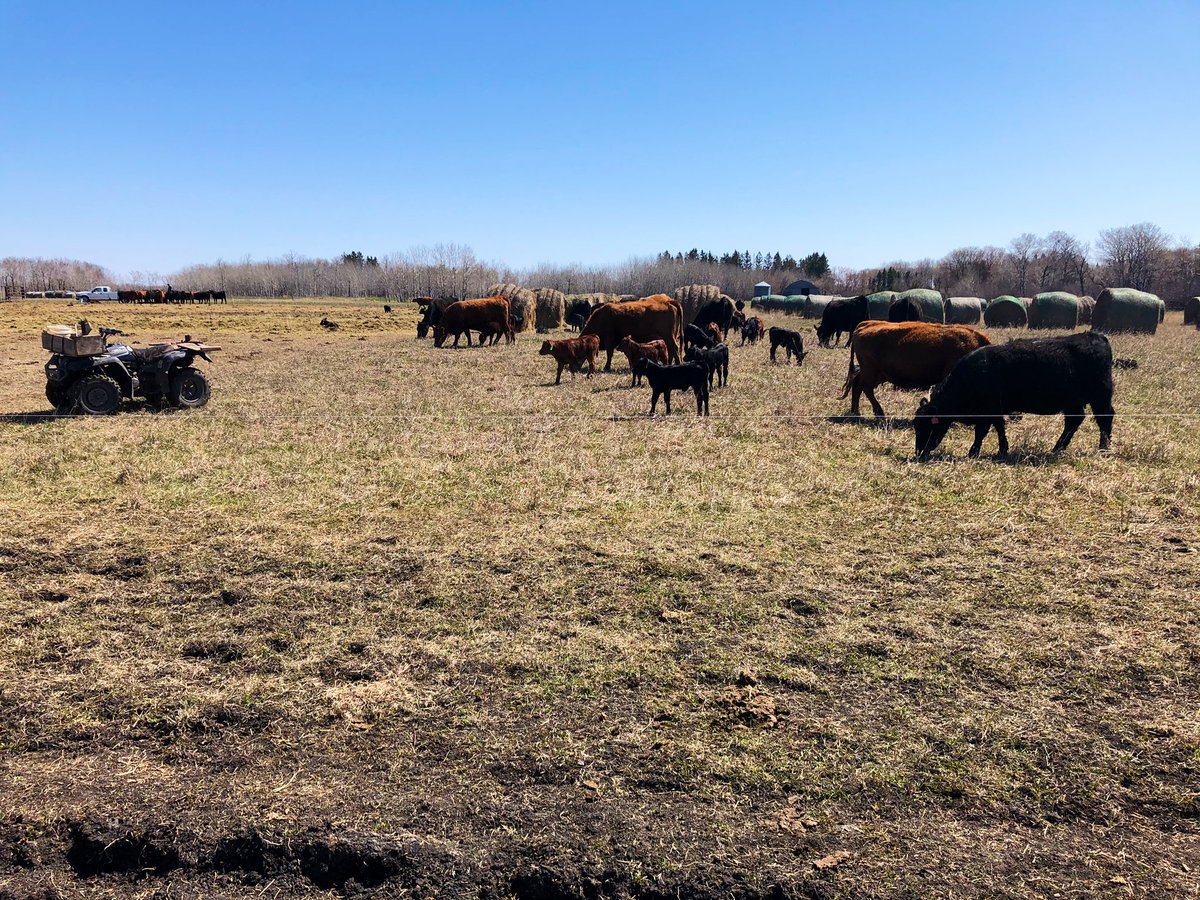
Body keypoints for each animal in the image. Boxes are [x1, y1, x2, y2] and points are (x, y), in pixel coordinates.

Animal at [842, 321, 992, 418]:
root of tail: (864, 325)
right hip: (872, 373)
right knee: (865, 387)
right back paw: (879, 413)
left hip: (877, 374)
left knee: (858, 384)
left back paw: (856, 412)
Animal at [915, 331, 1114, 458]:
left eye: (927, 425)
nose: (918, 453)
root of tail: (1096, 336)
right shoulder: (996, 411)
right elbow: (1000, 427)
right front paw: (1003, 449)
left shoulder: (987, 411)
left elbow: (981, 432)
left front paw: (973, 452)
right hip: (1073, 402)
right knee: (1074, 421)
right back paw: (1058, 448)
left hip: (1100, 396)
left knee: (1105, 418)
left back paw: (1103, 447)